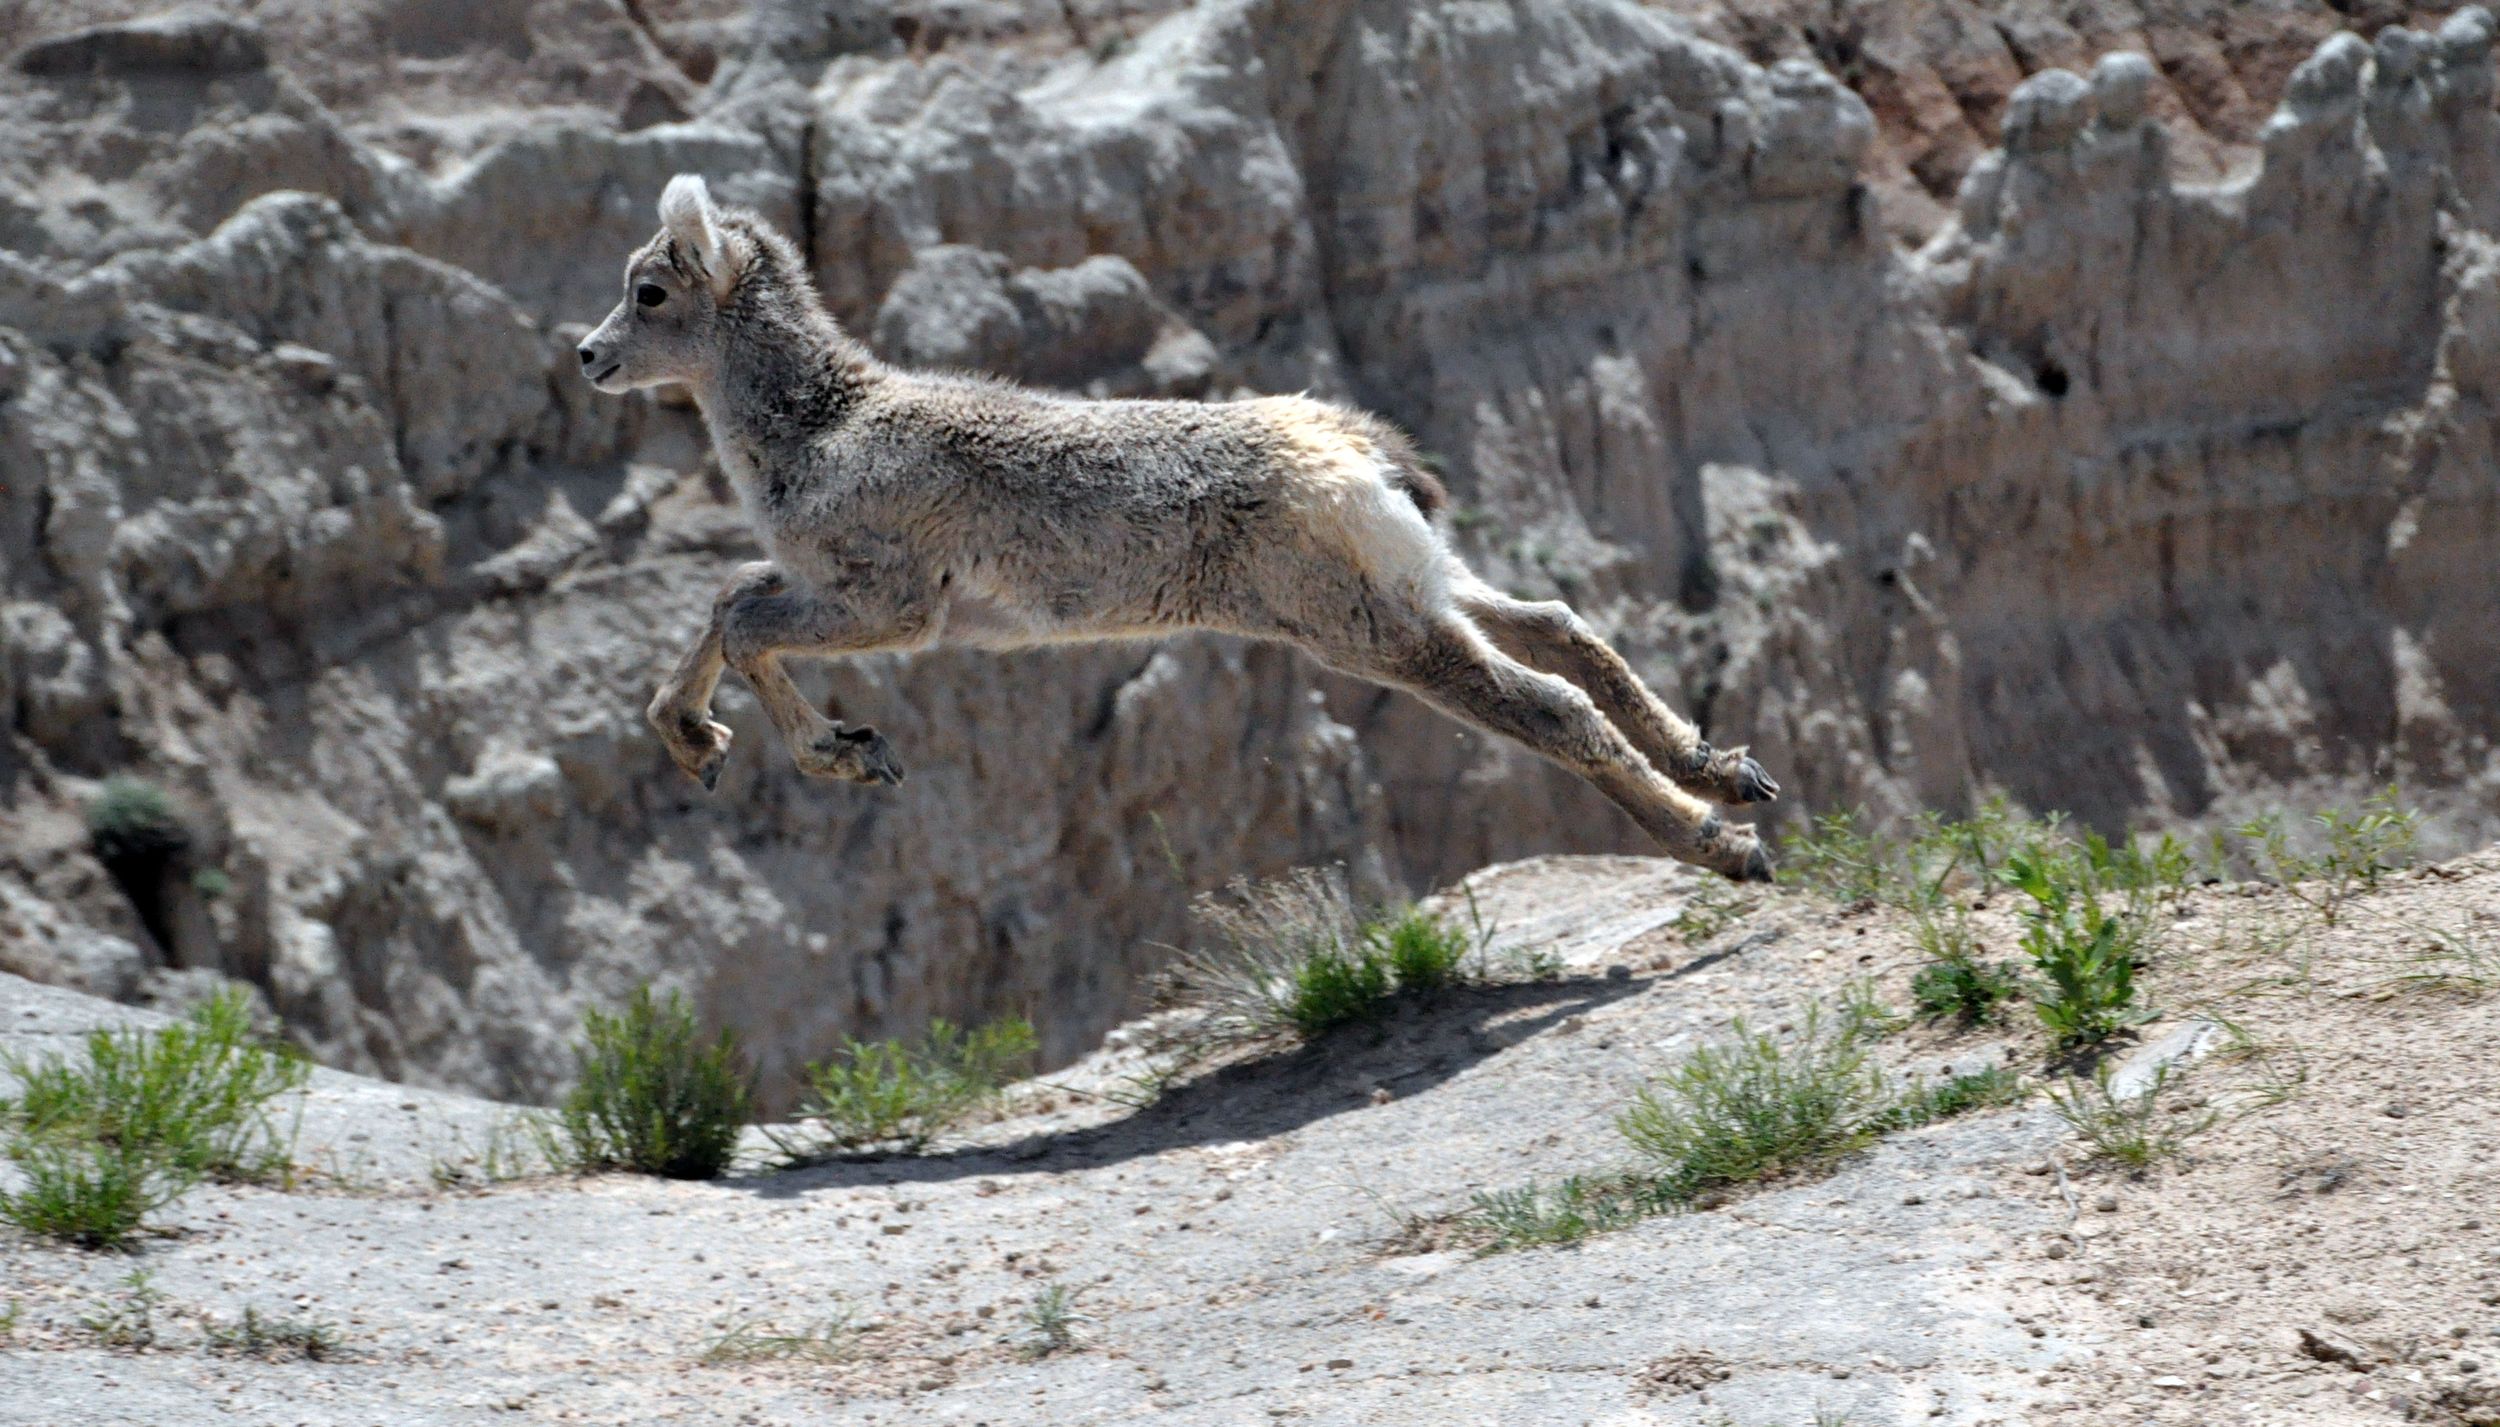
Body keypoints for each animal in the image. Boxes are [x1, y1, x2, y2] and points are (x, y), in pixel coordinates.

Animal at [577, 176, 1778, 881]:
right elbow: (725, 605)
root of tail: (1354, 450)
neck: (821, 426)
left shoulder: (889, 607)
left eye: (649, 292)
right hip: (1423, 584)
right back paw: (1730, 774)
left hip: (1377, 630)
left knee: (1546, 702)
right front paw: (698, 743)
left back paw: (1724, 846)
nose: (588, 357)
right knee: (1560, 624)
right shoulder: (824, 591)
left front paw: (851, 753)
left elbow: (743, 623)